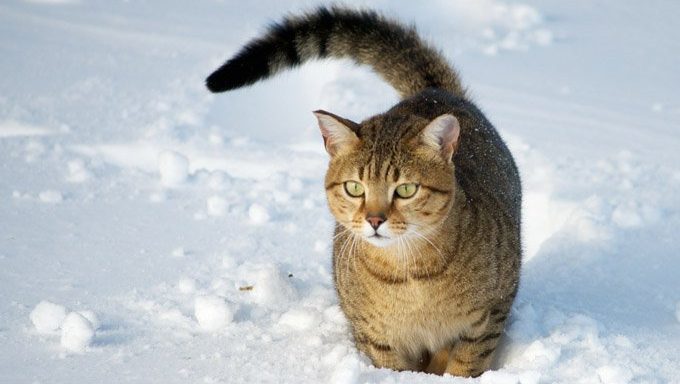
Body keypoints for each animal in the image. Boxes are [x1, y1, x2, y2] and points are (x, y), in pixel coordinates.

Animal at [206, 6, 520, 378]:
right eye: (355, 187)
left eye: (406, 189)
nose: (374, 219)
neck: (411, 276)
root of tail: (433, 91)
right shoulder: (376, 337)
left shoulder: (489, 317)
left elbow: (465, 363)